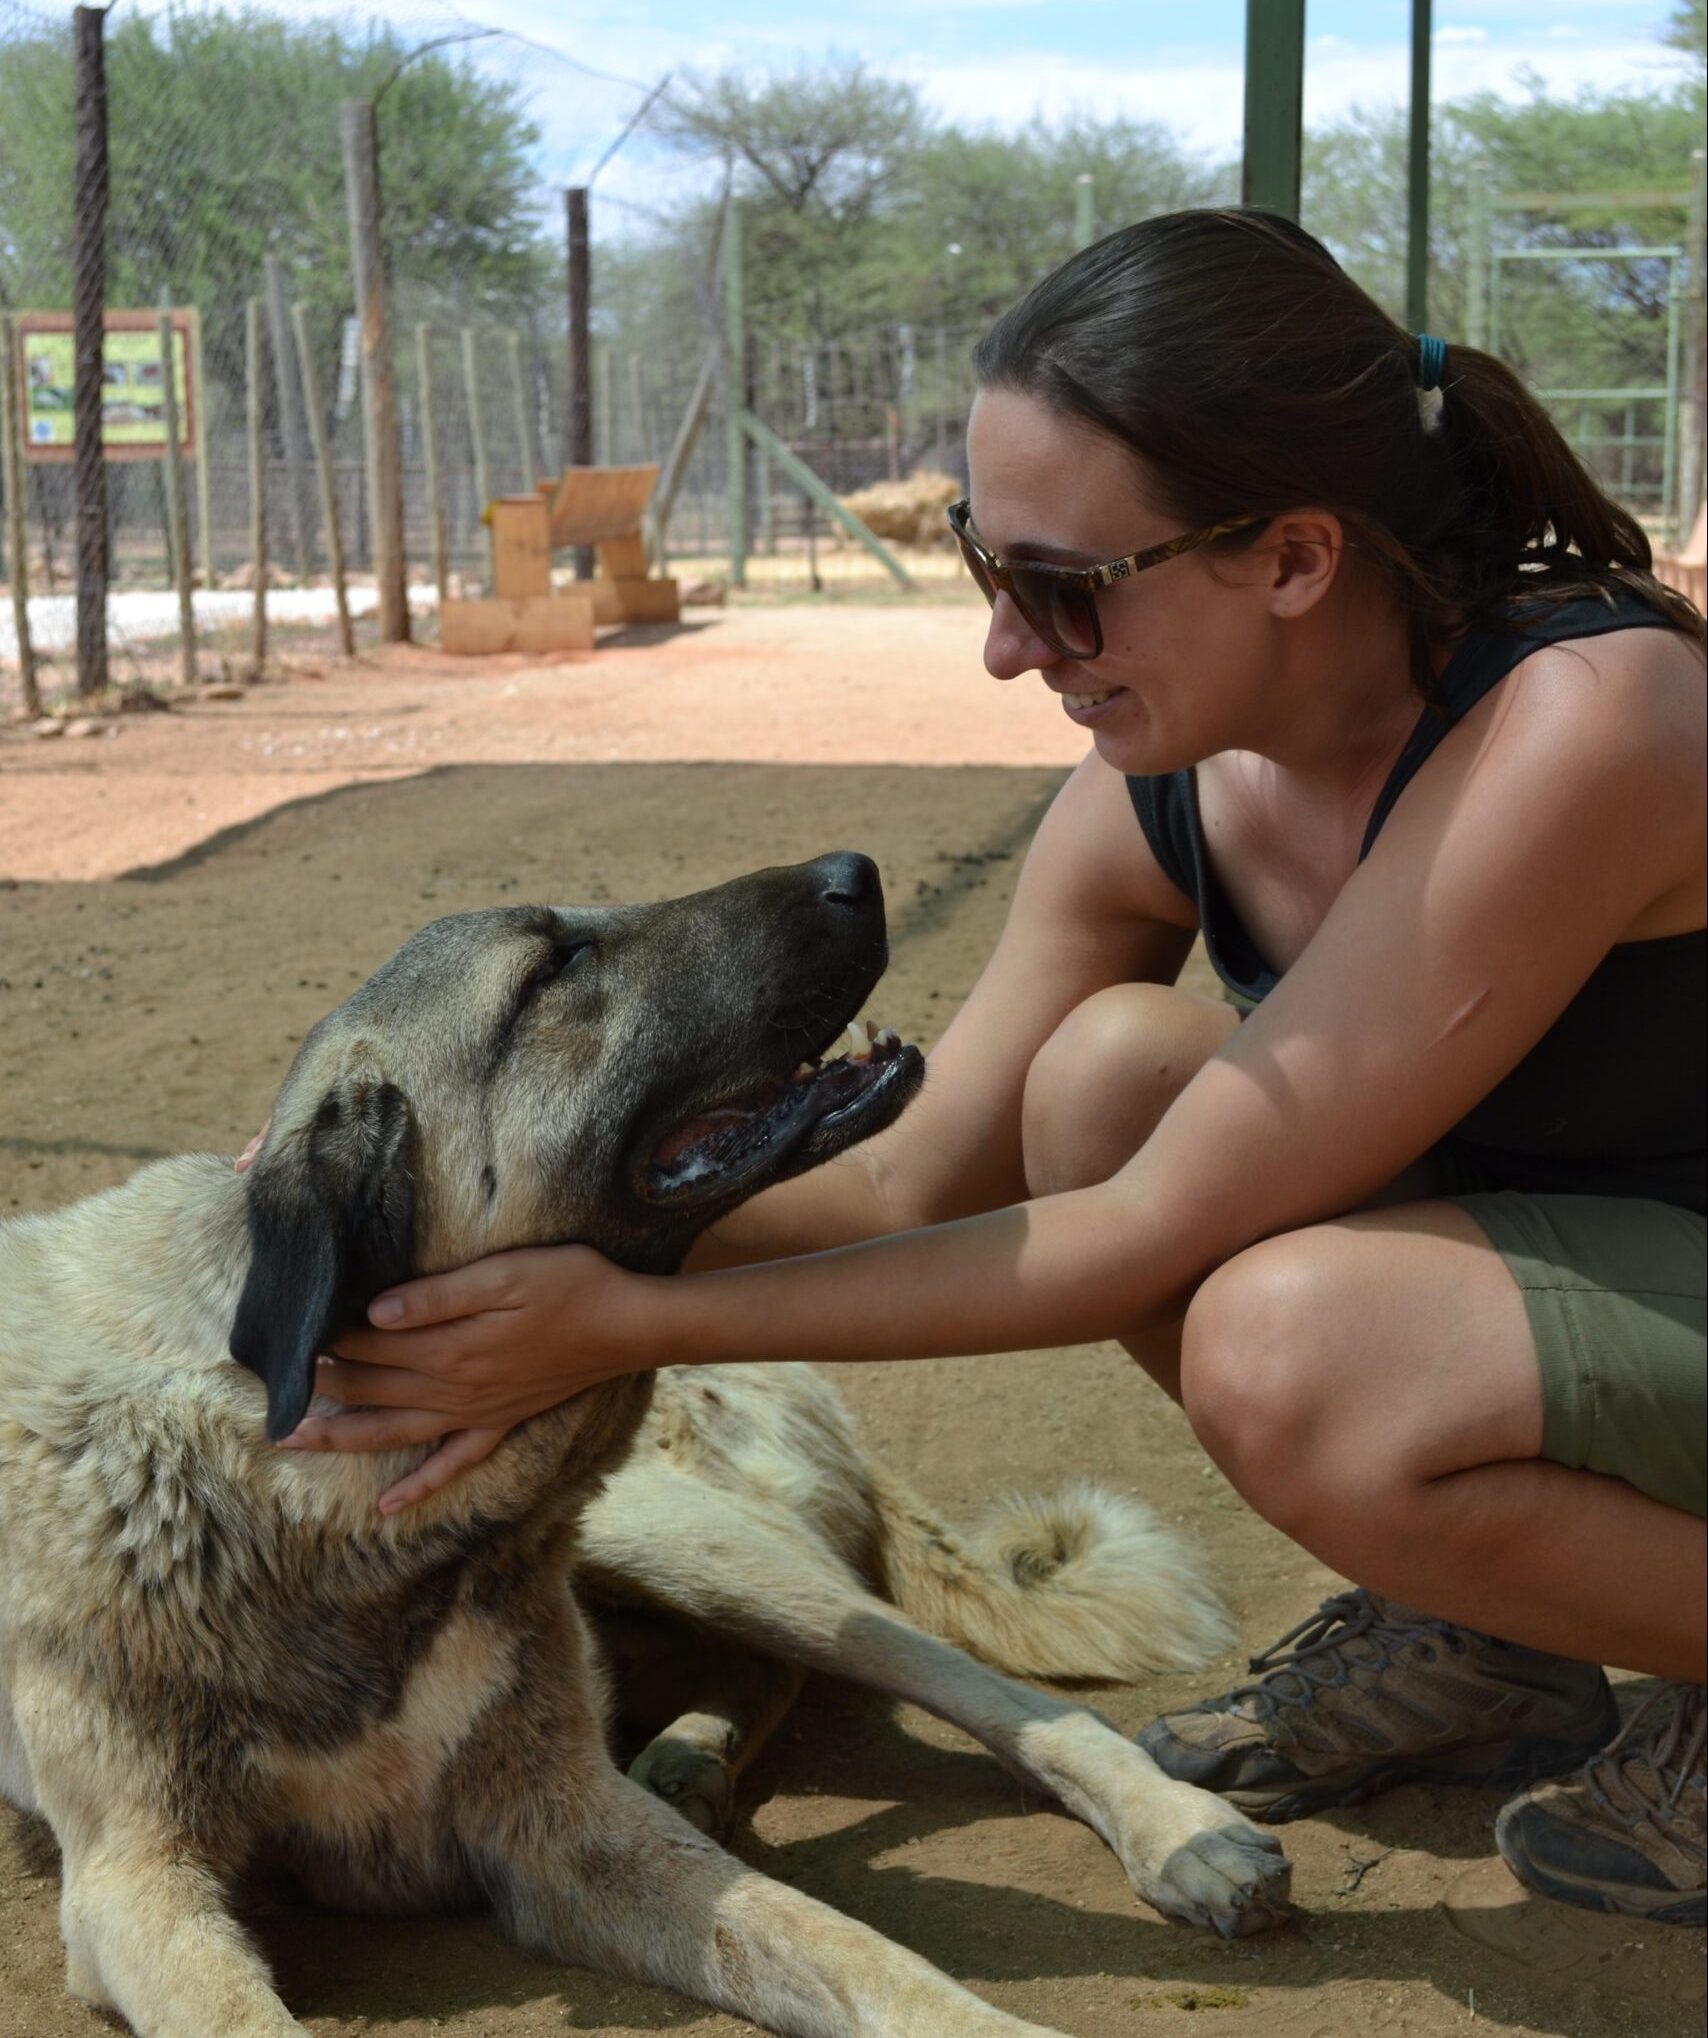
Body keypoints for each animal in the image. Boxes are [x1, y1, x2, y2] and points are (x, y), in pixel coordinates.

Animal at [0, 855, 1288, 2038]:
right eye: (553, 967)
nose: (852, 871)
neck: (334, 1509)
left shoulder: (564, 1823)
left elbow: (864, 1953)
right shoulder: (137, 1886)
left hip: (685, 1537)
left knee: (961, 1679)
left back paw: (1179, 1832)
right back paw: (687, 1752)